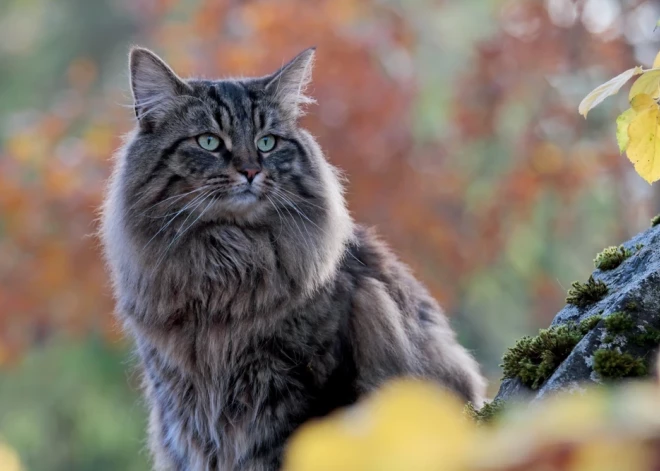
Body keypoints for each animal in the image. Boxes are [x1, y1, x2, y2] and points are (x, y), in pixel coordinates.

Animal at [102, 45, 484, 471]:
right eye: (209, 142)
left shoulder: (304, 388)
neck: (228, 271)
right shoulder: (181, 408)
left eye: (267, 142)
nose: (251, 170)